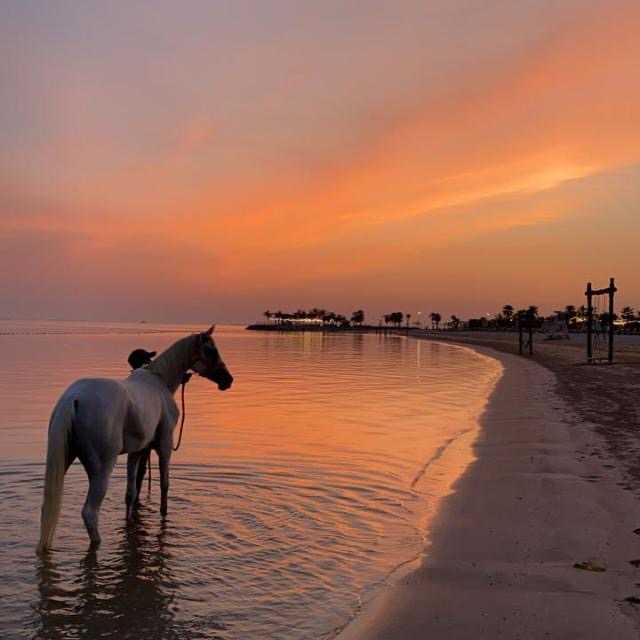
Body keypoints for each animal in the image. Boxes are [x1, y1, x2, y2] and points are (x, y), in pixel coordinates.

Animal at [36, 325, 233, 554]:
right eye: (211, 350)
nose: (228, 380)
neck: (160, 381)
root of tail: (73, 399)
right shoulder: (165, 446)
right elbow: (164, 484)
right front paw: (163, 514)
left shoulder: (137, 451)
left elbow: (131, 492)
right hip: (102, 468)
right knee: (90, 512)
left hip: (66, 459)